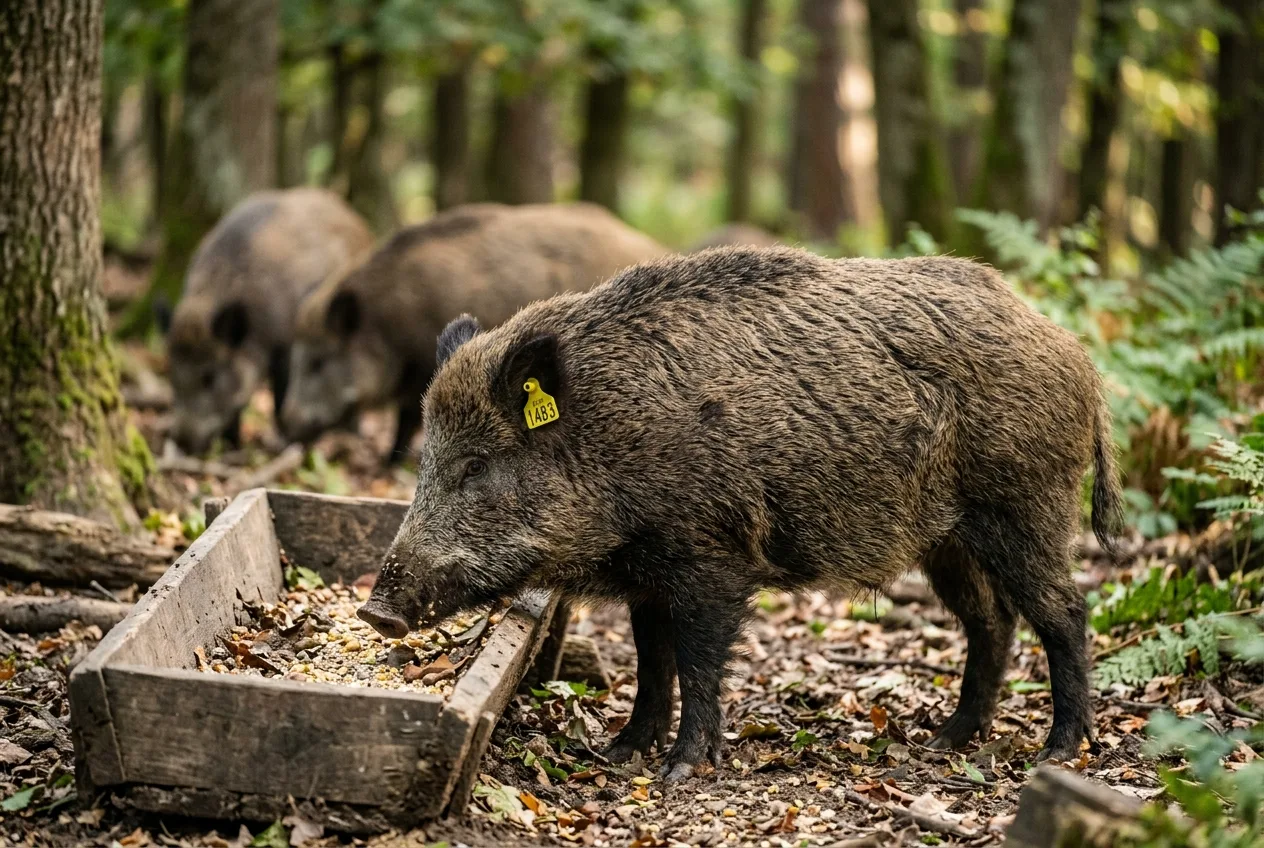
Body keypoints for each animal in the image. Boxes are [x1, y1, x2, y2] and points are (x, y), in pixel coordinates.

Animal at [166, 188, 374, 453]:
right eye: (172, 375)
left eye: (208, 377)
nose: (182, 442)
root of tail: (354, 218)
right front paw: (233, 445)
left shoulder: (285, 346)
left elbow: (280, 394)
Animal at [280, 202, 669, 458]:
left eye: (318, 361)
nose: (283, 430)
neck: (384, 325)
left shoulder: (421, 369)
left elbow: (408, 418)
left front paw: (391, 460)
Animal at [358, 247, 1123, 781]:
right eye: (428, 460)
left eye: (477, 465)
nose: (376, 611)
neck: (608, 434)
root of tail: (1079, 357)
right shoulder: (649, 574)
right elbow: (652, 661)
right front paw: (618, 753)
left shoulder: (710, 557)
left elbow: (697, 661)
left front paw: (679, 771)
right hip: (948, 540)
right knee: (991, 620)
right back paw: (945, 738)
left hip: (1024, 507)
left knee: (1064, 611)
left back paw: (1057, 754)